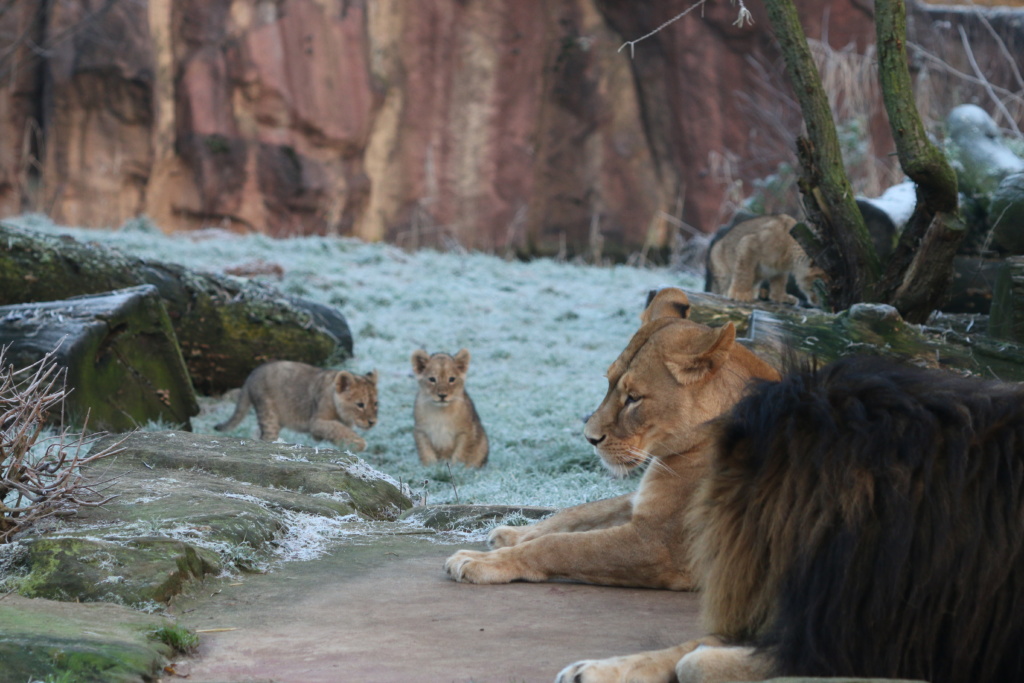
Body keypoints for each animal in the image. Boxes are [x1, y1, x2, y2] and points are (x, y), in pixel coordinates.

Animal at [446, 288, 774, 589]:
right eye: (609, 382)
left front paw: (479, 561)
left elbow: (560, 546)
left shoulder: (660, 544)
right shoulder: (639, 502)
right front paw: (512, 534)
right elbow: (577, 513)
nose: (589, 438)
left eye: (634, 398)